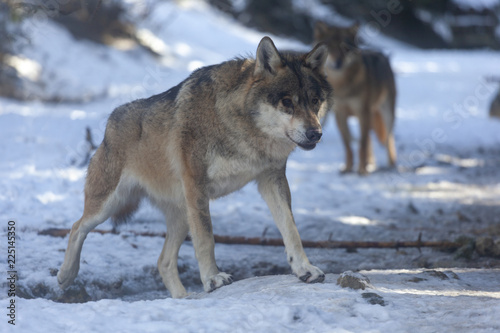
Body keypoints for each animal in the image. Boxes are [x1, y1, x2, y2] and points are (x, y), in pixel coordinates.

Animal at [56, 37, 334, 298]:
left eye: (315, 101)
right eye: (287, 102)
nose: (316, 134)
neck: (244, 131)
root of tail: (109, 122)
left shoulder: (272, 179)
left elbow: (291, 229)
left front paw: (304, 269)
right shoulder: (196, 184)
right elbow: (206, 239)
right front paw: (213, 279)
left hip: (180, 215)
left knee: (163, 262)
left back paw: (183, 299)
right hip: (110, 205)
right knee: (76, 227)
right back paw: (66, 275)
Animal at [314, 21, 396, 175]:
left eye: (345, 48)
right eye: (330, 47)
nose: (338, 62)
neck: (342, 86)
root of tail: (382, 54)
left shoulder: (362, 112)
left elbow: (362, 145)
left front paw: (362, 170)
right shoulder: (340, 115)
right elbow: (348, 145)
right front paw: (348, 168)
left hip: (385, 114)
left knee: (389, 138)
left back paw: (391, 164)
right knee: (370, 140)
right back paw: (371, 163)